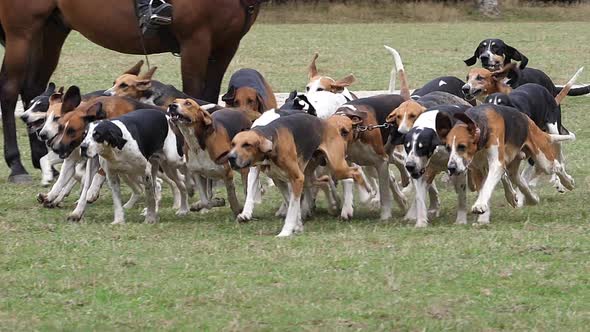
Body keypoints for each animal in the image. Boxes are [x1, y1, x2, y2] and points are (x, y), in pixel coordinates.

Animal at [0, 0, 264, 182]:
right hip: (22, 32)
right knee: (9, 90)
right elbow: (193, 95)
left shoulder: (226, 46)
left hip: (51, 29)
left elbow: (207, 98)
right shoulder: (195, 42)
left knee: (34, 87)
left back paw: (40, 157)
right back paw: (17, 166)